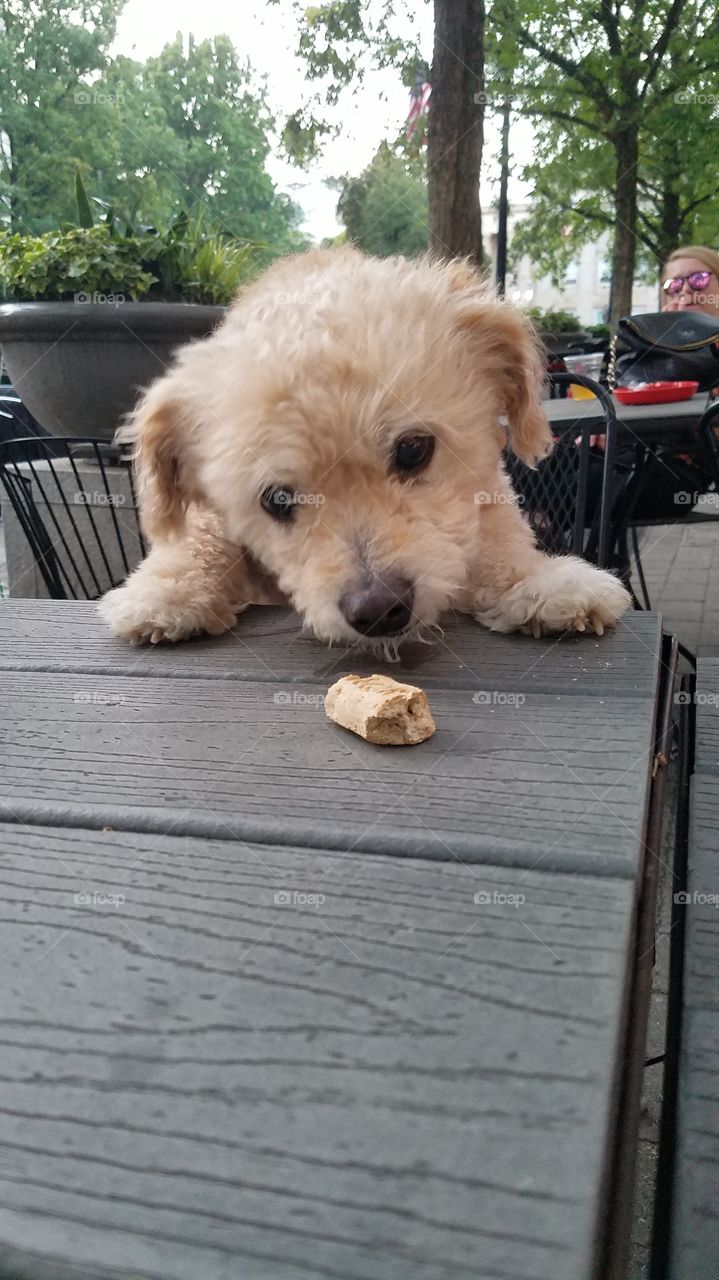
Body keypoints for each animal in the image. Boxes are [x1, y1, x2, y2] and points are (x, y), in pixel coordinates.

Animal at [99, 243, 626, 650]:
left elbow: (498, 535)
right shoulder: (211, 518)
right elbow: (199, 536)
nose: (377, 610)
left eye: (413, 449)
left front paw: (535, 581)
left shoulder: (485, 489)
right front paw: (166, 591)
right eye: (277, 499)